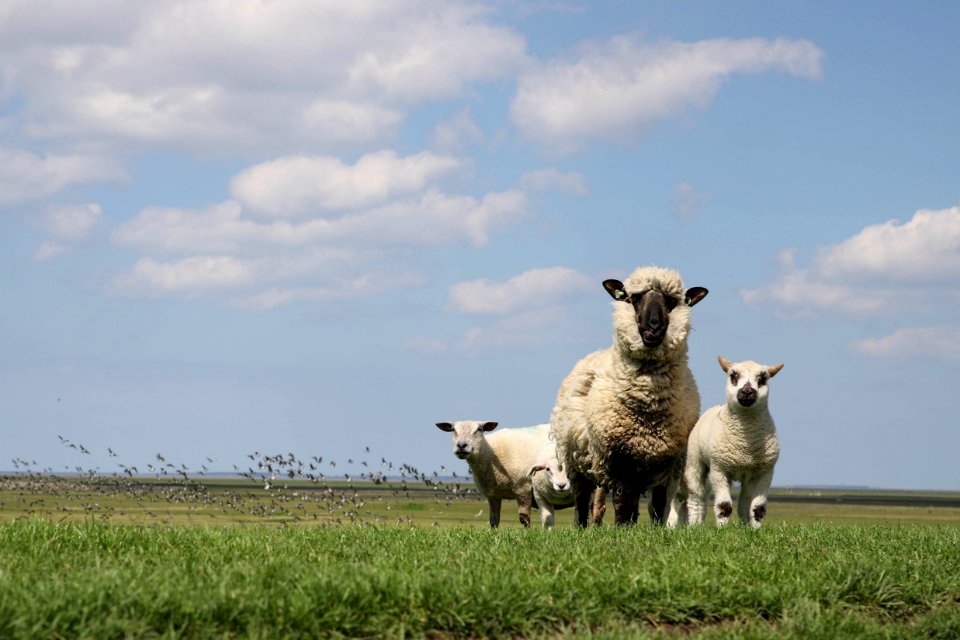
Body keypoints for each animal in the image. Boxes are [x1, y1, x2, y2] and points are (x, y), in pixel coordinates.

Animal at [548, 264, 704, 524]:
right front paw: (621, 530)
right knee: (582, 501)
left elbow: (659, 505)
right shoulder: (619, 459)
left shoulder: (667, 462)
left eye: (672, 301)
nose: (654, 327)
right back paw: (581, 526)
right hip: (576, 461)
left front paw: (655, 529)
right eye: (633, 298)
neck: (648, 404)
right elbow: (622, 503)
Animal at [668, 356, 788, 528]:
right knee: (695, 499)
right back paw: (694, 526)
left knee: (743, 502)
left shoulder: (764, 472)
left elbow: (758, 508)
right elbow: (724, 505)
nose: (747, 392)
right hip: (694, 465)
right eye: (733, 375)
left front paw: (755, 529)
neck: (745, 446)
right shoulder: (719, 469)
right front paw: (722, 528)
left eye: (763, 379)